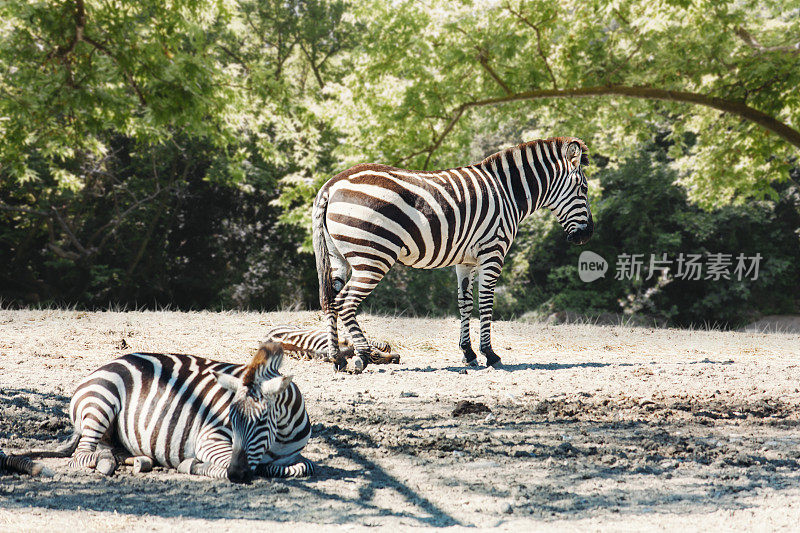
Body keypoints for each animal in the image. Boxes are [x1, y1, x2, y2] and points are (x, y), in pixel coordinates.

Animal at [25, 340, 312, 482]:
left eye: (263, 420)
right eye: (230, 420)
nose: (237, 475)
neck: (280, 438)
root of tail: (116, 359)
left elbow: (302, 467)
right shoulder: (209, 438)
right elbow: (224, 462)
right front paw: (193, 465)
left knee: (108, 449)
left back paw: (135, 460)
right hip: (101, 401)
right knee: (83, 455)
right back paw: (105, 461)